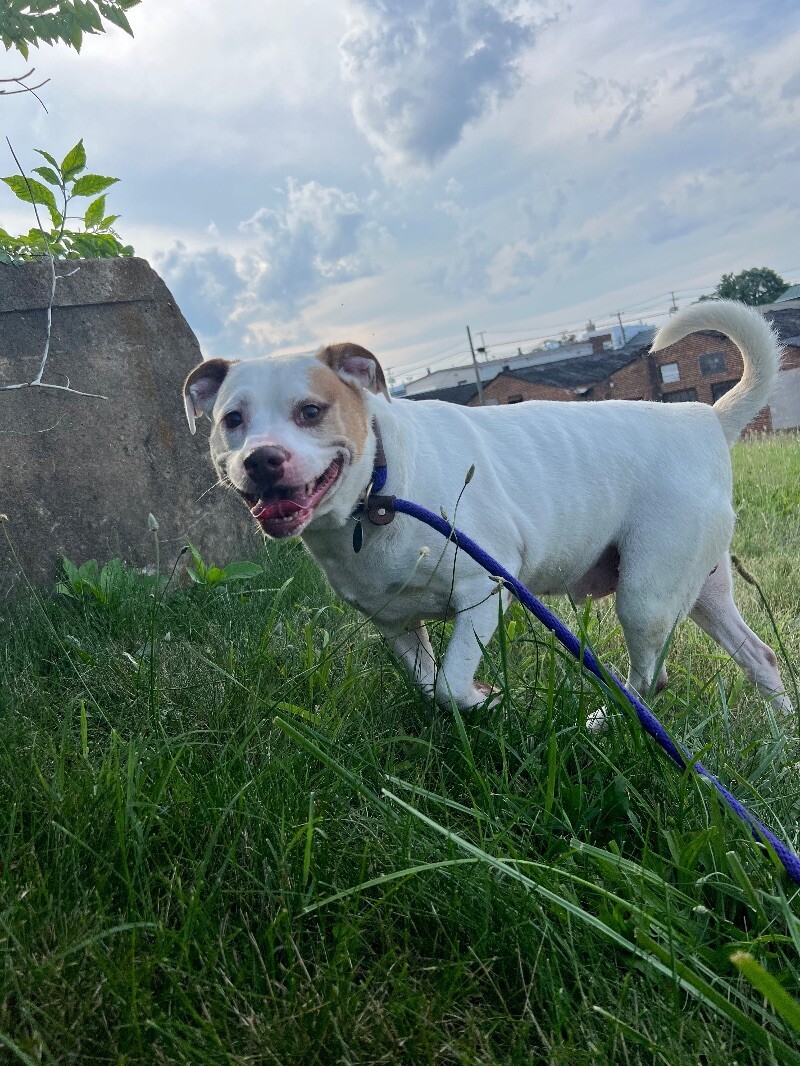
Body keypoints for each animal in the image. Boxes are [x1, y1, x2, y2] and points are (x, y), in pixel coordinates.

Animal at [183, 300, 797, 716]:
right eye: (232, 419)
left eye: (310, 411)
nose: (262, 460)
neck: (378, 495)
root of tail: (706, 417)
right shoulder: (393, 623)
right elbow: (430, 682)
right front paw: (479, 699)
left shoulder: (485, 589)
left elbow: (450, 684)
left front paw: (483, 697)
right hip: (698, 588)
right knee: (759, 657)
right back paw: (779, 733)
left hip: (646, 596)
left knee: (649, 680)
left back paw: (605, 720)